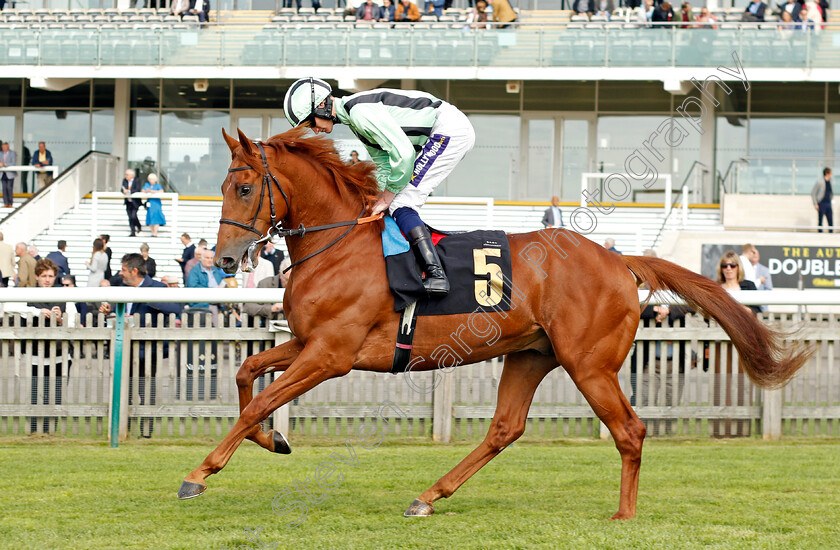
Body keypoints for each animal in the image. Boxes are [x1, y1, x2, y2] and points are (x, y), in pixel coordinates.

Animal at [179, 129, 812, 520]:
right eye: (222, 186)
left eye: (243, 186)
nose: (226, 261)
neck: (337, 244)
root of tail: (620, 260)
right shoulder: (311, 344)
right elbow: (247, 373)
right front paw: (274, 440)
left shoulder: (331, 354)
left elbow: (261, 399)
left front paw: (201, 473)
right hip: (530, 353)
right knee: (505, 428)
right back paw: (429, 496)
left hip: (588, 362)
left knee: (630, 430)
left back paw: (624, 513)